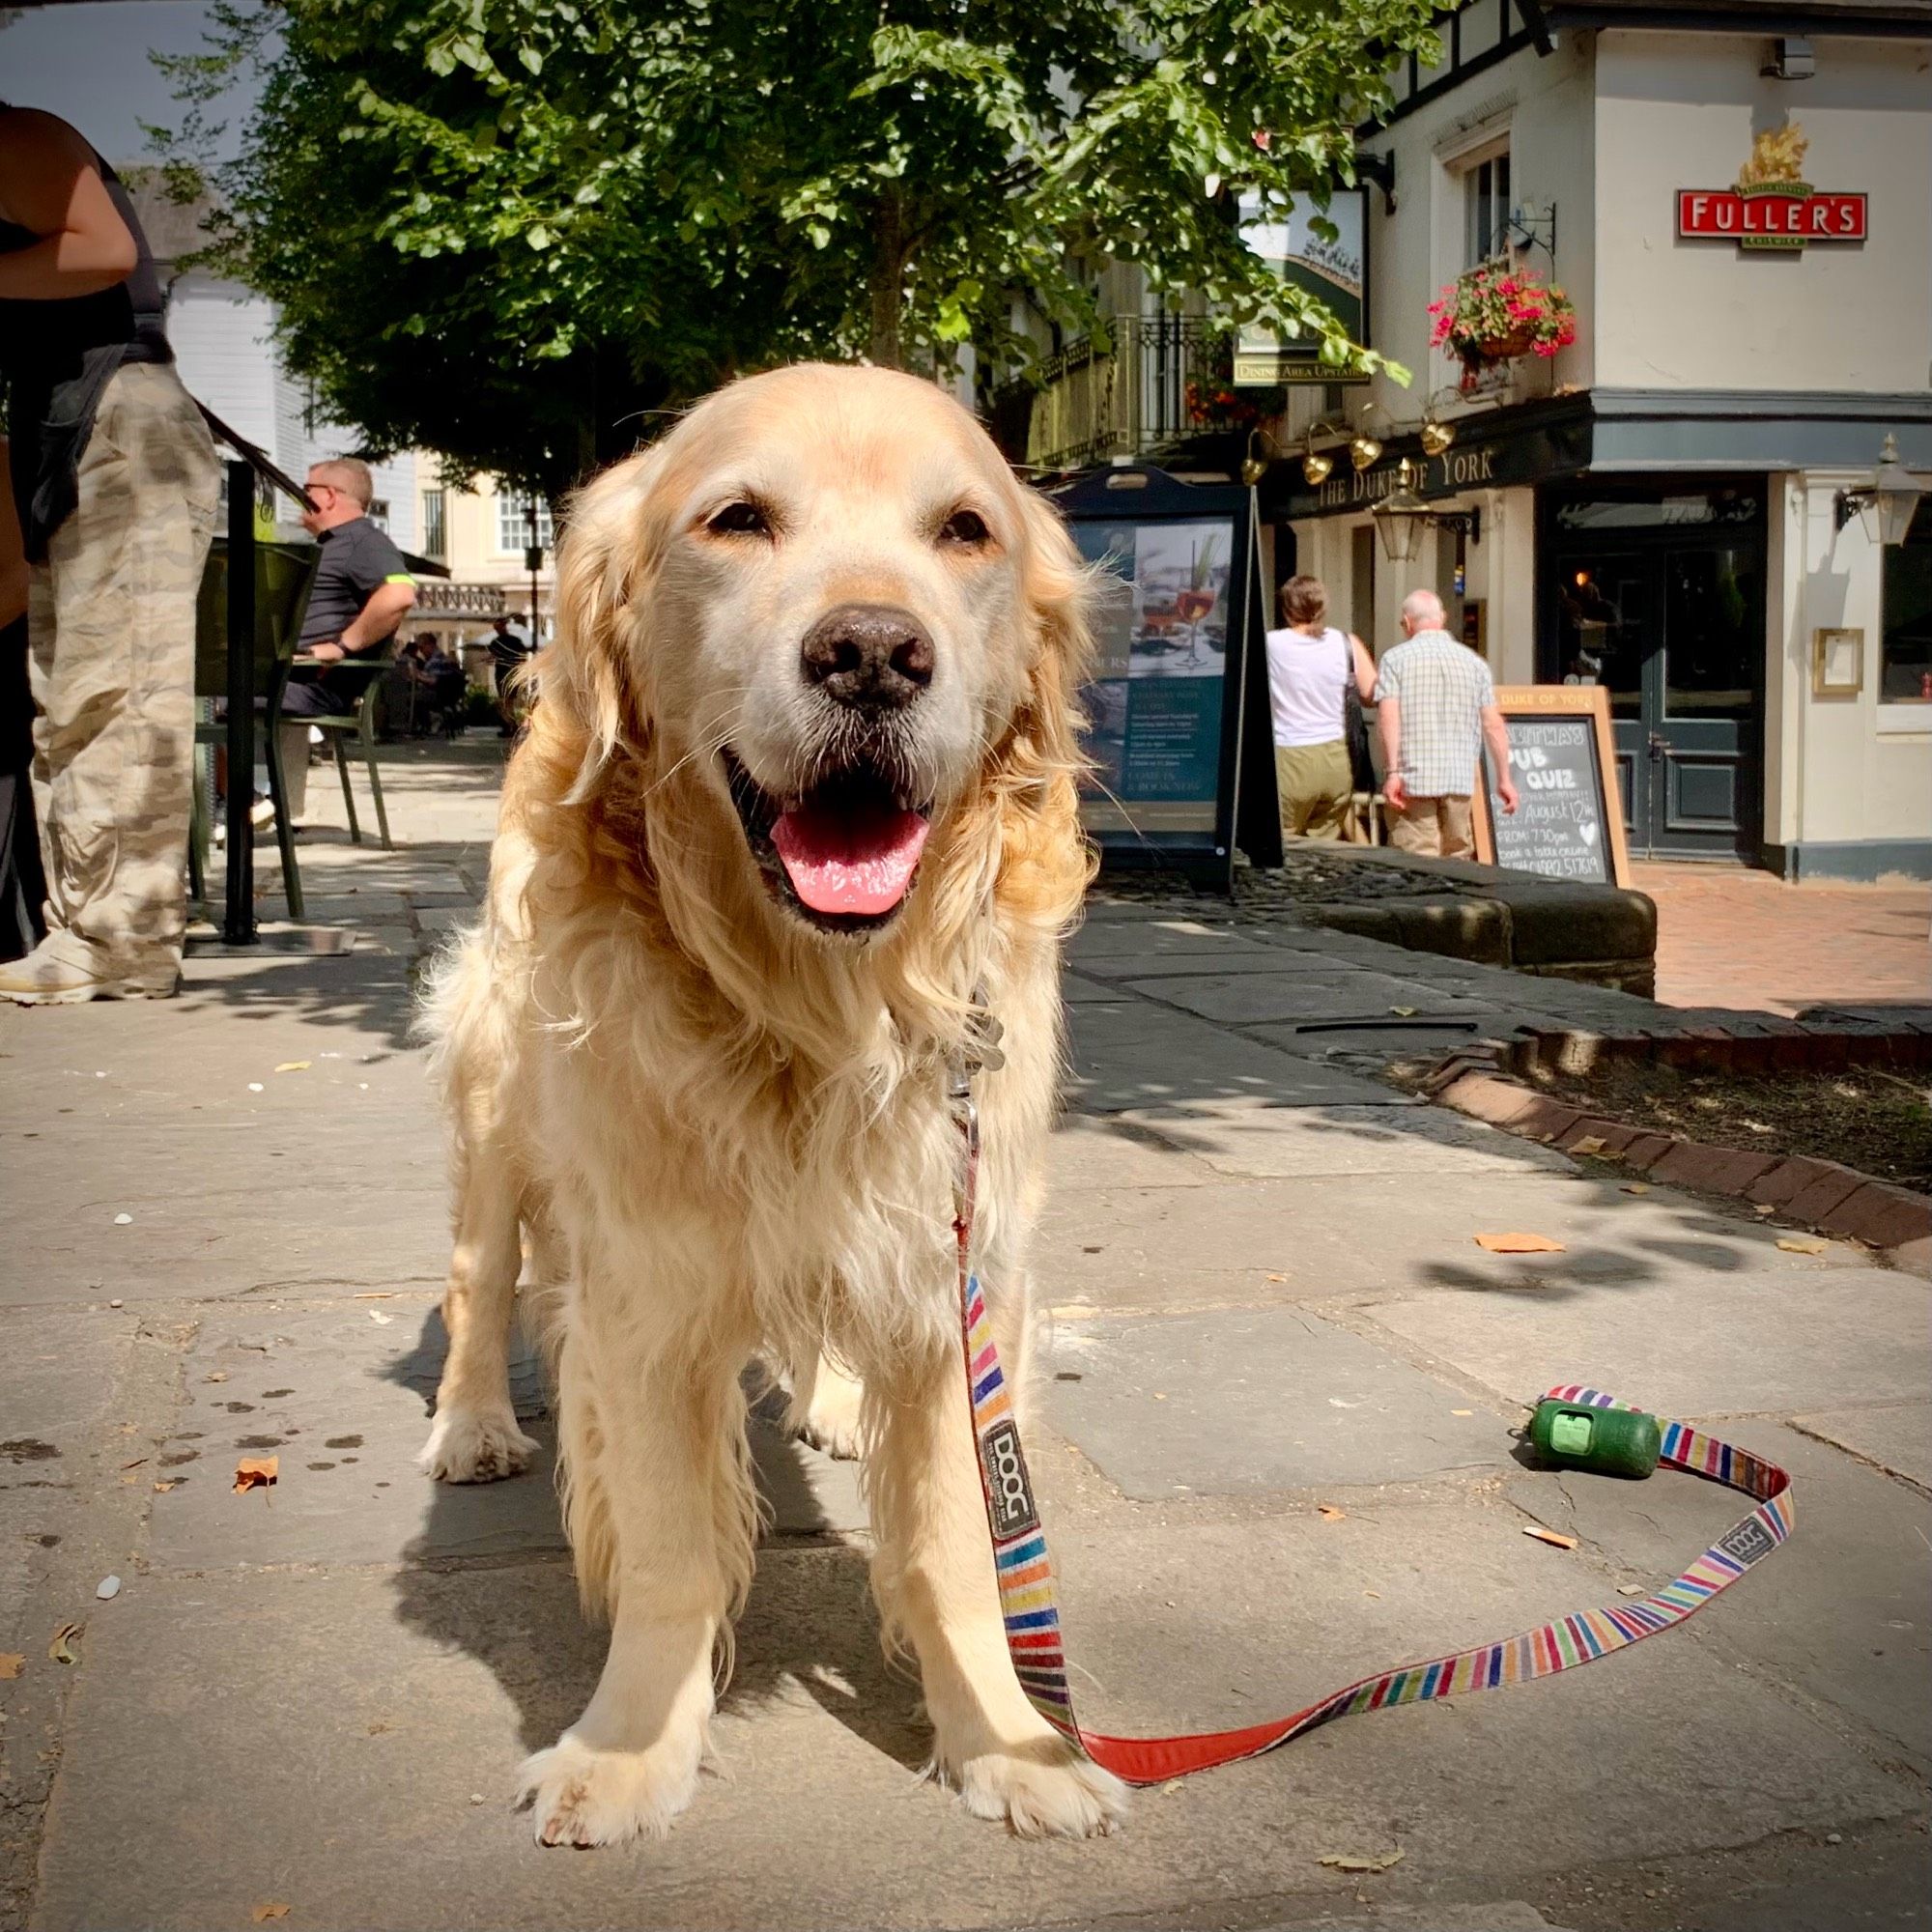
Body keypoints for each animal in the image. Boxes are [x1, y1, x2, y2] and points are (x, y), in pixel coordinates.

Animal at [415, 355, 1128, 1847]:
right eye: (737, 519)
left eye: (963, 531)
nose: (872, 653)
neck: (822, 1005)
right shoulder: (646, 1286)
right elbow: (670, 1548)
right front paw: (631, 1748)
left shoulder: (958, 1258)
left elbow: (959, 1545)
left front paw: (1010, 1742)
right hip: (501, 1094)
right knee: (477, 1276)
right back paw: (474, 1423)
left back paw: (831, 1400)